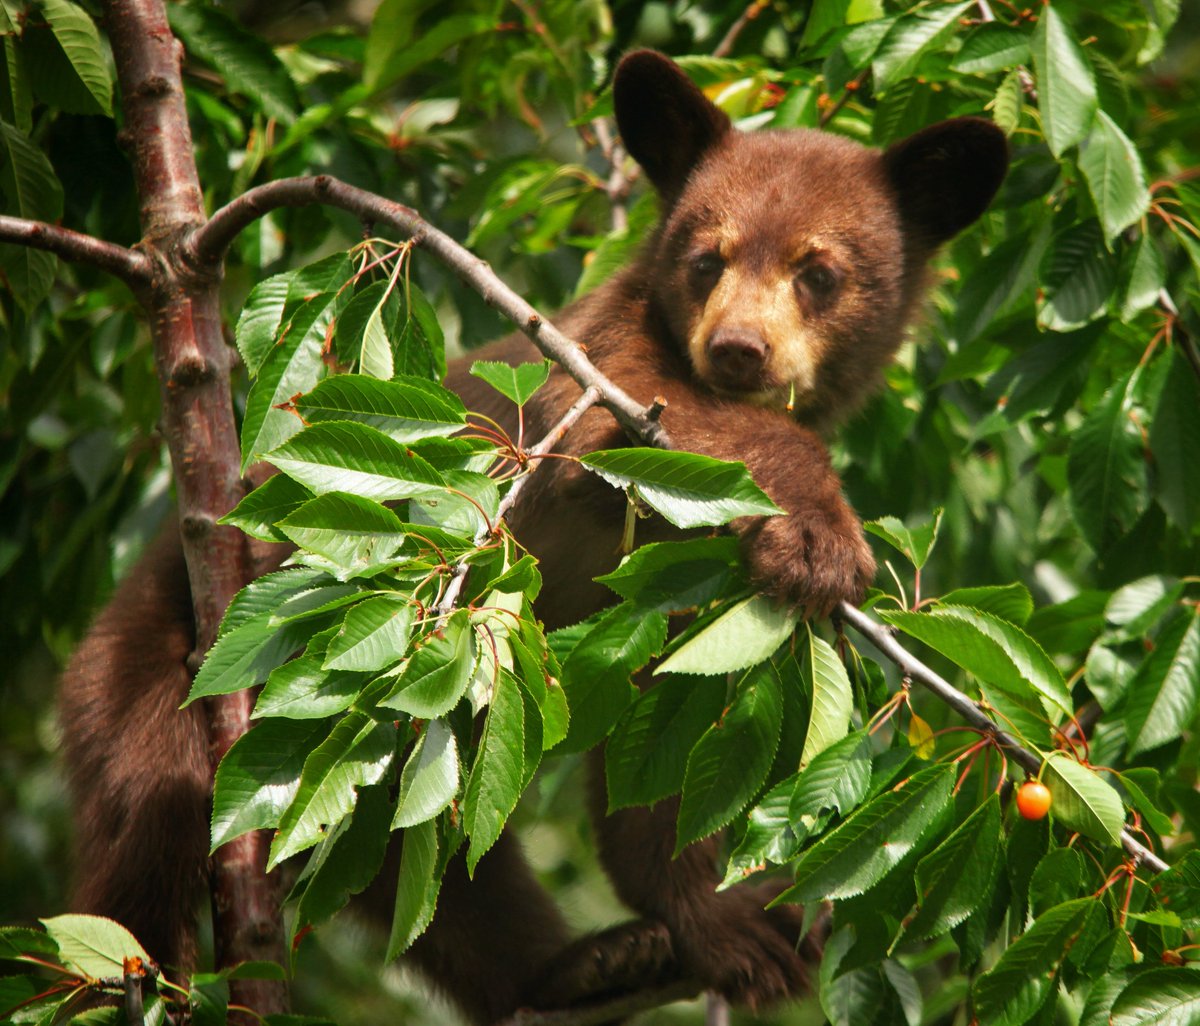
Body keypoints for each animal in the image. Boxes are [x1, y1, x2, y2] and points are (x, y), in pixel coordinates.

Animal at [58, 50, 1008, 1025]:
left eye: (818, 272)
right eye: (708, 258)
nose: (739, 348)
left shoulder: (685, 596)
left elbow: (659, 751)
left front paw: (736, 928)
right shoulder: (593, 370)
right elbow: (628, 423)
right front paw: (821, 540)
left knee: (413, 856)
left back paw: (583, 965)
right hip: (147, 682)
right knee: (149, 831)